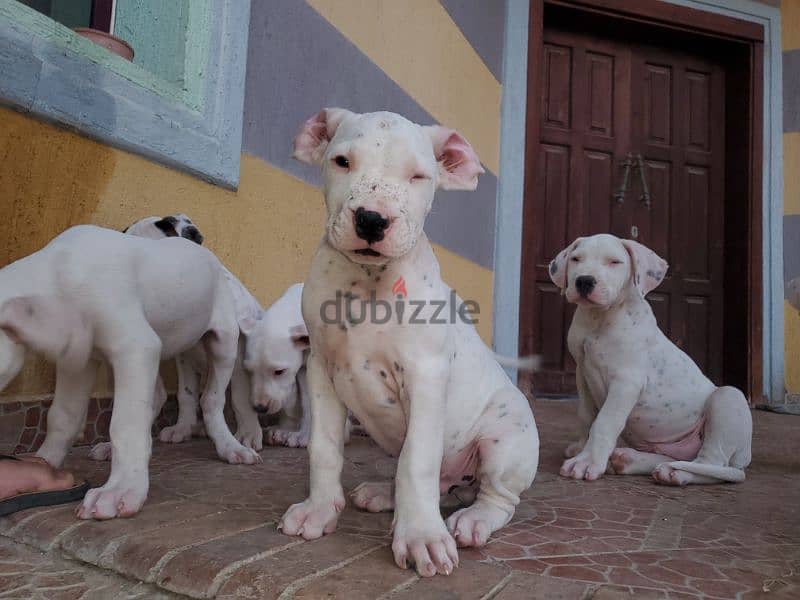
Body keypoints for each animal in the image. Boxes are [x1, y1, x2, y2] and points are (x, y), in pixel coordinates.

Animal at [0, 225, 260, 520]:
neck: (60, 272)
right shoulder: (78, 358)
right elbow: (63, 416)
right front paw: (45, 464)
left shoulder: (136, 347)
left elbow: (125, 424)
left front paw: (121, 489)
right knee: (157, 397)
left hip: (223, 342)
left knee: (211, 401)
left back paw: (230, 446)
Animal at [278, 108, 540, 576]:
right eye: (342, 161)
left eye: (419, 176)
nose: (371, 219)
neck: (367, 283)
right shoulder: (323, 370)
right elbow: (323, 447)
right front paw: (319, 510)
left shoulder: (425, 376)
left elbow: (416, 460)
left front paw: (421, 537)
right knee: (434, 483)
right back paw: (385, 494)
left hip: (504, 445)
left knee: (497, 499)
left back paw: (472, 520)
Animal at [552, 232, 752, 486]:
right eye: (576, 259)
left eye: (614, 262)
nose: (584, 281)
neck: (600, 319)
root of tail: (743, 459)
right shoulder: (582, 373)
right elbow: (586, 415)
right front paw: (580, 449)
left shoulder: (626, 382)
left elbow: (605, 421)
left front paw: (587, 462)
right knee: (677, 458)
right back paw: (632, 460)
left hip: (727, 398)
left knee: (713, 462)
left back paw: (677, 473)